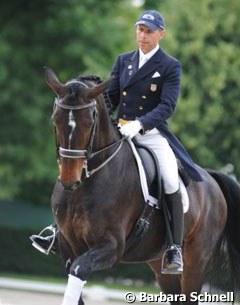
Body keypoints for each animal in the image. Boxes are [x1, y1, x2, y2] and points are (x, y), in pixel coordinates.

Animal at [44, 66, 240, 304]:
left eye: (89, 123)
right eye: (55, 120)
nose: (69, 180)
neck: (86, 184)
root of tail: (210, 178)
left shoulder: (112, 246)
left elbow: (80, 268)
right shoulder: (67, 245)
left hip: (195, 261)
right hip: (159, 264)